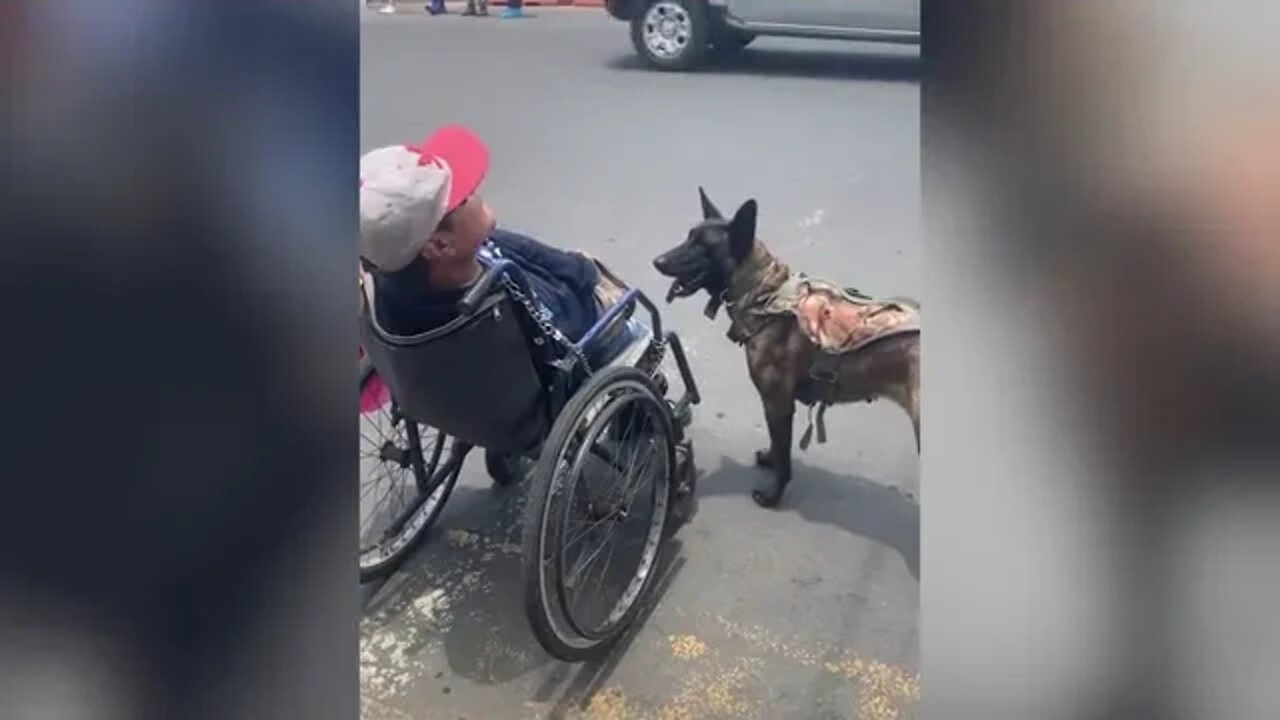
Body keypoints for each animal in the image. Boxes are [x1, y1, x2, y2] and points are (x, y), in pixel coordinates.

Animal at [650, 188, 921, 507]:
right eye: (688, 237)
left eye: (703, 246)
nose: (657, 261)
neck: (765, 293)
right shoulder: (776, 405)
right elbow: (776, 446)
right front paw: (769, 458)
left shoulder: (777, 402)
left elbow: (783, 456)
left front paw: (772, 495)